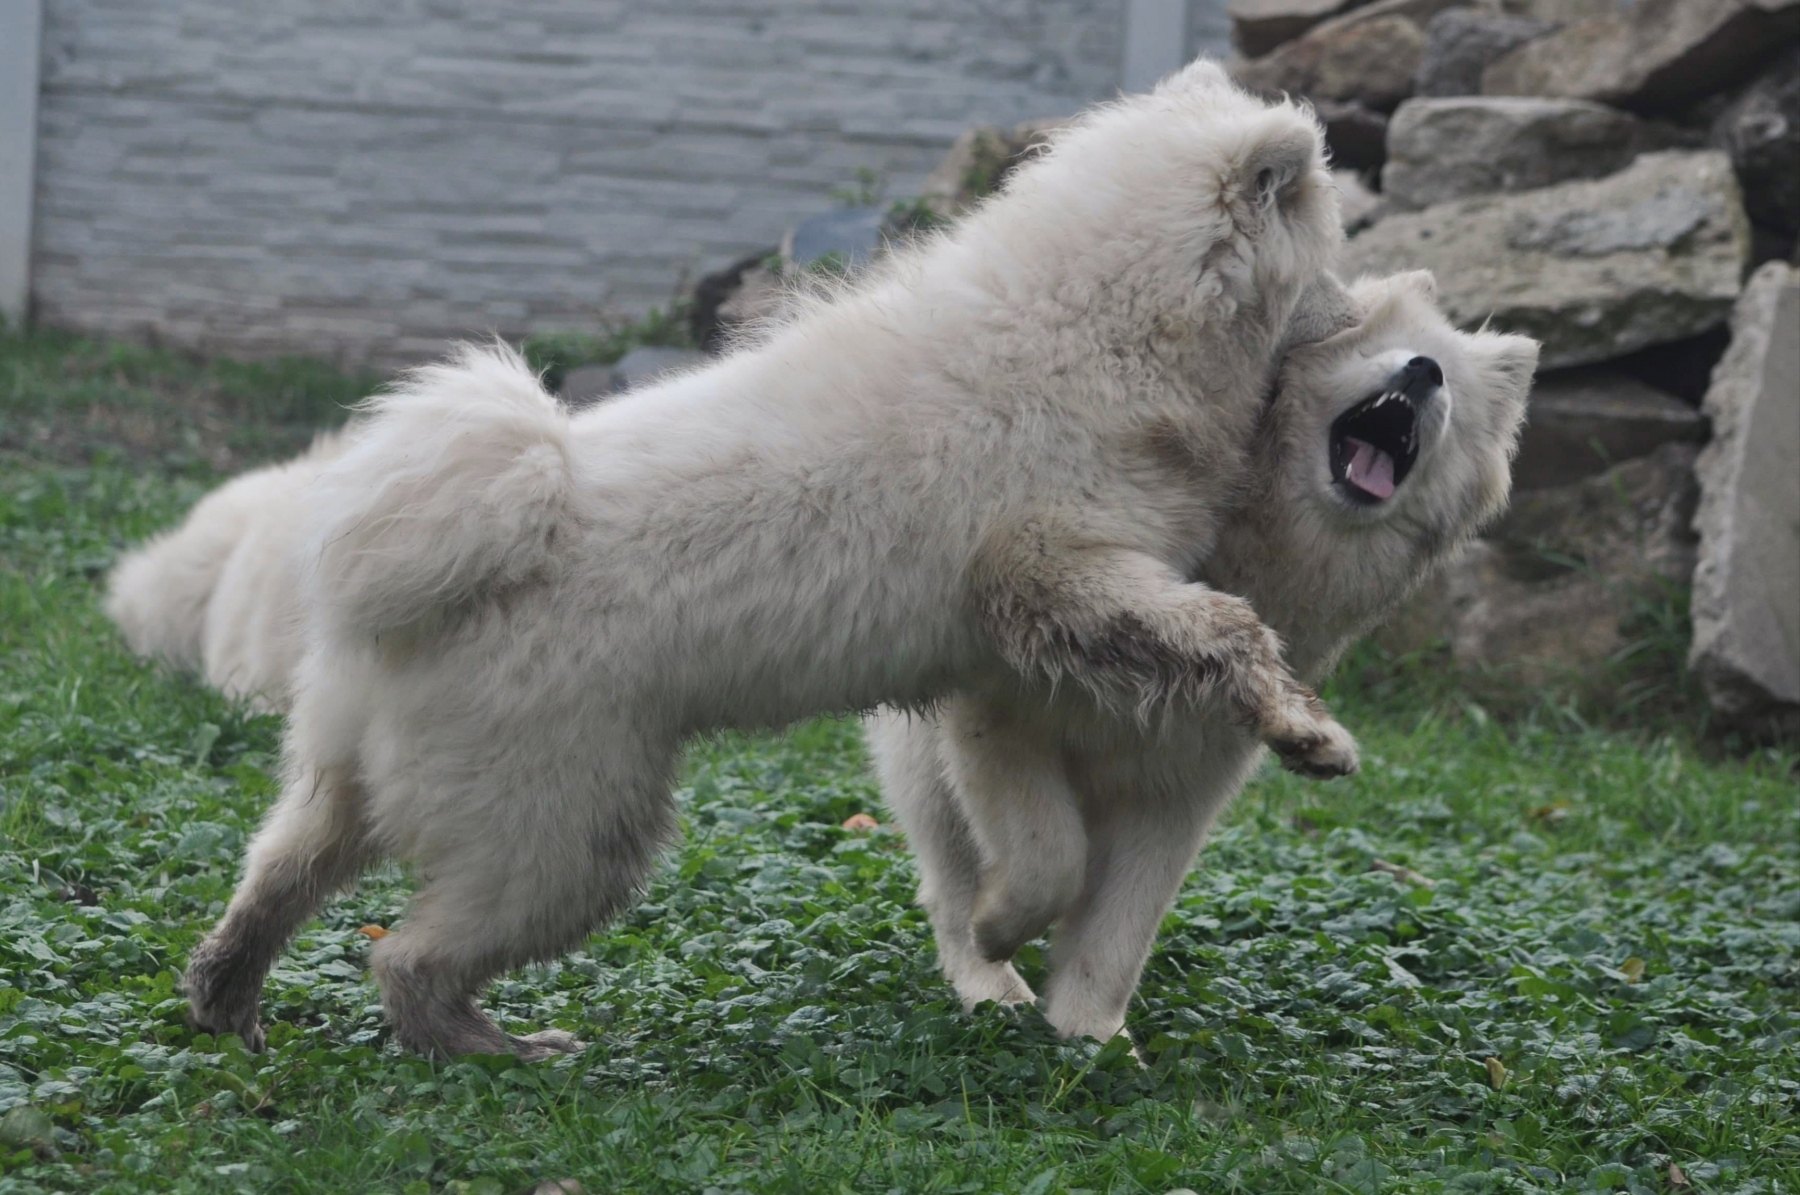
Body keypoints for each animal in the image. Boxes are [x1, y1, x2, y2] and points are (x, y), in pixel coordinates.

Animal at [169, 61, 1369, 1060]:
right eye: (1335, 254)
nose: (1365, 319)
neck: (1099, 321)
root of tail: (461, 557)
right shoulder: (1052, 564)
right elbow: (1221, 630)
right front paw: (1307, 730)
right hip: (570, 828)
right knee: (411, 956)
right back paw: (498, 1049)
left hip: (352, 774)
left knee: (277, 877)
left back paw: (230, 1001)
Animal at [865, 270, 1539, 1044]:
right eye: (1383, 347)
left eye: (1451, 375)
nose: (1423, 371)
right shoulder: (999, 719)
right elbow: (1046, 857)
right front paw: (997, 933)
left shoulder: (1184, 776)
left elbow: (1122, 929)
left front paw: (1093, 1042)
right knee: (945, 873)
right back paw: (987, 983)